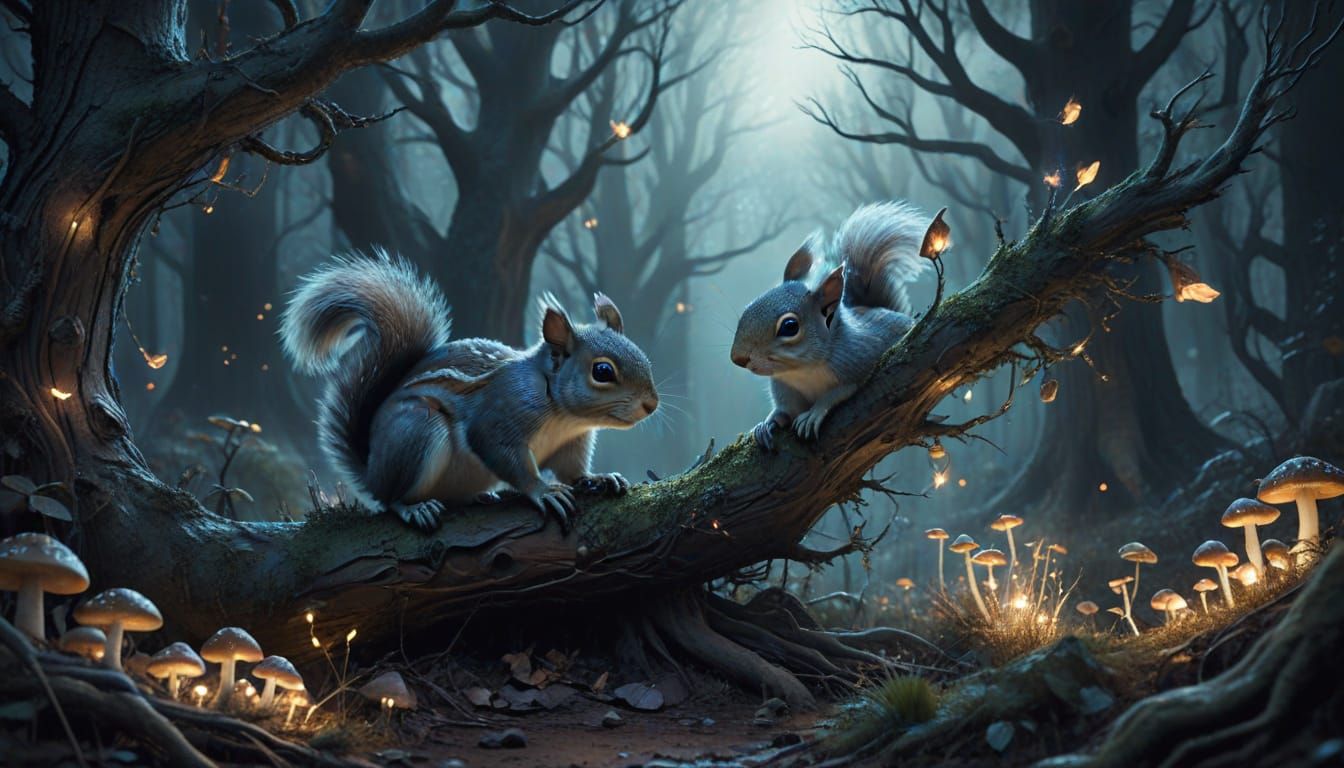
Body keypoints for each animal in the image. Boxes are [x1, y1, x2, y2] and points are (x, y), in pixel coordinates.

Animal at [280, 250, 659, 532]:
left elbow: (574, 470)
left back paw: (479, 497)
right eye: (602, 371)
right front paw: (543, 491)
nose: (651, 405)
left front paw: (599, 478)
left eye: (643, 355)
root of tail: (372, 470)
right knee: (390, 500)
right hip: (415, 431)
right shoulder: (500, 415)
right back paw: (413, 508)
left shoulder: (572, 444)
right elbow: (504, 455)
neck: (562, 414)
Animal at [730, 201, 928, 450]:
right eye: (749, 306)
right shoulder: (786, 390)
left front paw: (814, 413)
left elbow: (841, 390)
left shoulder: (860, 359)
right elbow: (784, 412)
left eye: (789, 327)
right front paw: (766, 423)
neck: (803, 371)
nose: (738, 358)